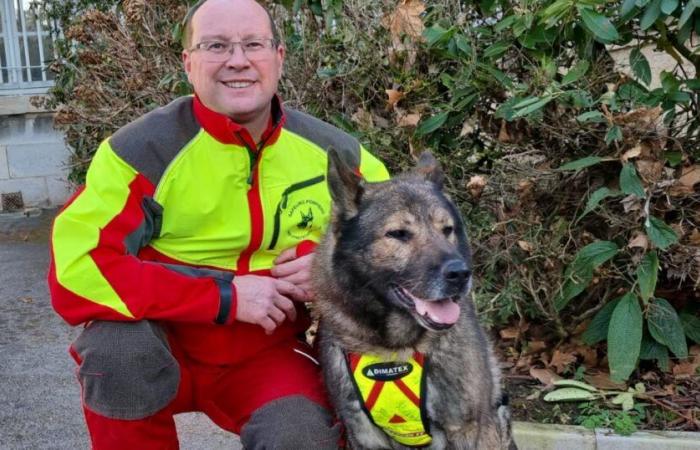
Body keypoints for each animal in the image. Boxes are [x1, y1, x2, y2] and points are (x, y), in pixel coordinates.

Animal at [312, 149, 516, 448]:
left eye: (447, 230)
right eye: (398, 234)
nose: (460, 273)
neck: (396, 349)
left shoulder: (468, 429)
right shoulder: (364, 435)